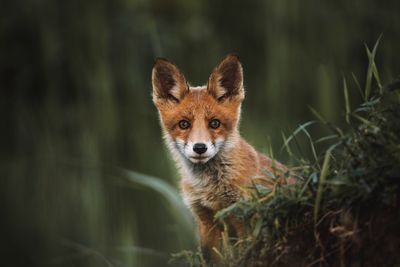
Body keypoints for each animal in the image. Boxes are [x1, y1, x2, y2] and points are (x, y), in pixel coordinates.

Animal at [152, 54, 292, 262]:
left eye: (215, 123)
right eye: (184, 124)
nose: (199, 147)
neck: (212, 187)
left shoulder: (244, 216)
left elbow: (245, 255)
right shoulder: (205, 220)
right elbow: (210, 259)